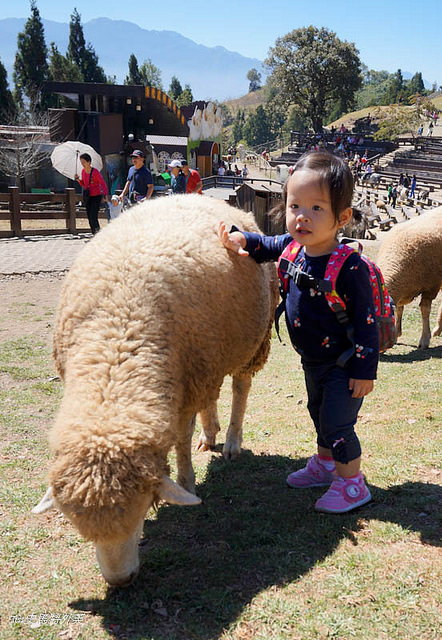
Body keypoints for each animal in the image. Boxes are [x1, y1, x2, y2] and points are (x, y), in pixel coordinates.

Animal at [33, 196, 276, 592]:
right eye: (83, 531)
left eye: (140, 518)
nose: (120, 580)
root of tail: (200, 196)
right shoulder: (189, 374)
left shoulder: (185, 385)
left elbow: (180, 438)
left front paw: (186, 480)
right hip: (208, 357)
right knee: (212, 397)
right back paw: (210, 433)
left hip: (253, 340)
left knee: (240, 388)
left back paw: (231, 441)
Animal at [376, 206, 442, 348]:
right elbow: (399, 309)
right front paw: (396, 333)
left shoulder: (431, 286)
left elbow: (425, 310)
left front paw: (424, 339)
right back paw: (438, 329)